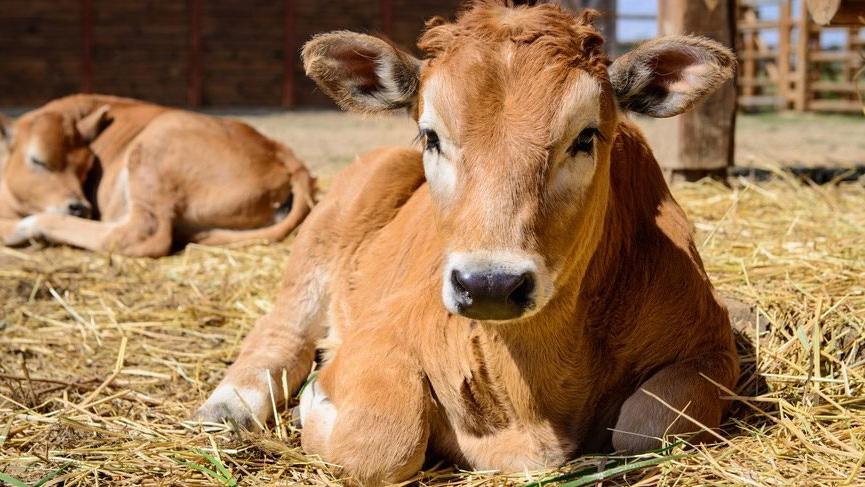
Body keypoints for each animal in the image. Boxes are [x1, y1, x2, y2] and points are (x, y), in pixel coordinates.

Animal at [0, 93, 314, 258]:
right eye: (38, 161)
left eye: (86, 168)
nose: (80, 207)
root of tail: (281, 152)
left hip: (153, 148)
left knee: (141, 234)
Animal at [199, 1, 740, 484]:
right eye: (431, 136)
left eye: (585, 137)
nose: (490, 286)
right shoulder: (383, 330)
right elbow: (381, 443)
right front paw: (314, 401)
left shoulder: (712, 348)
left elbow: (645, 429)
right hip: (327, 229)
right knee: (283, 329)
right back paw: (229, 406)